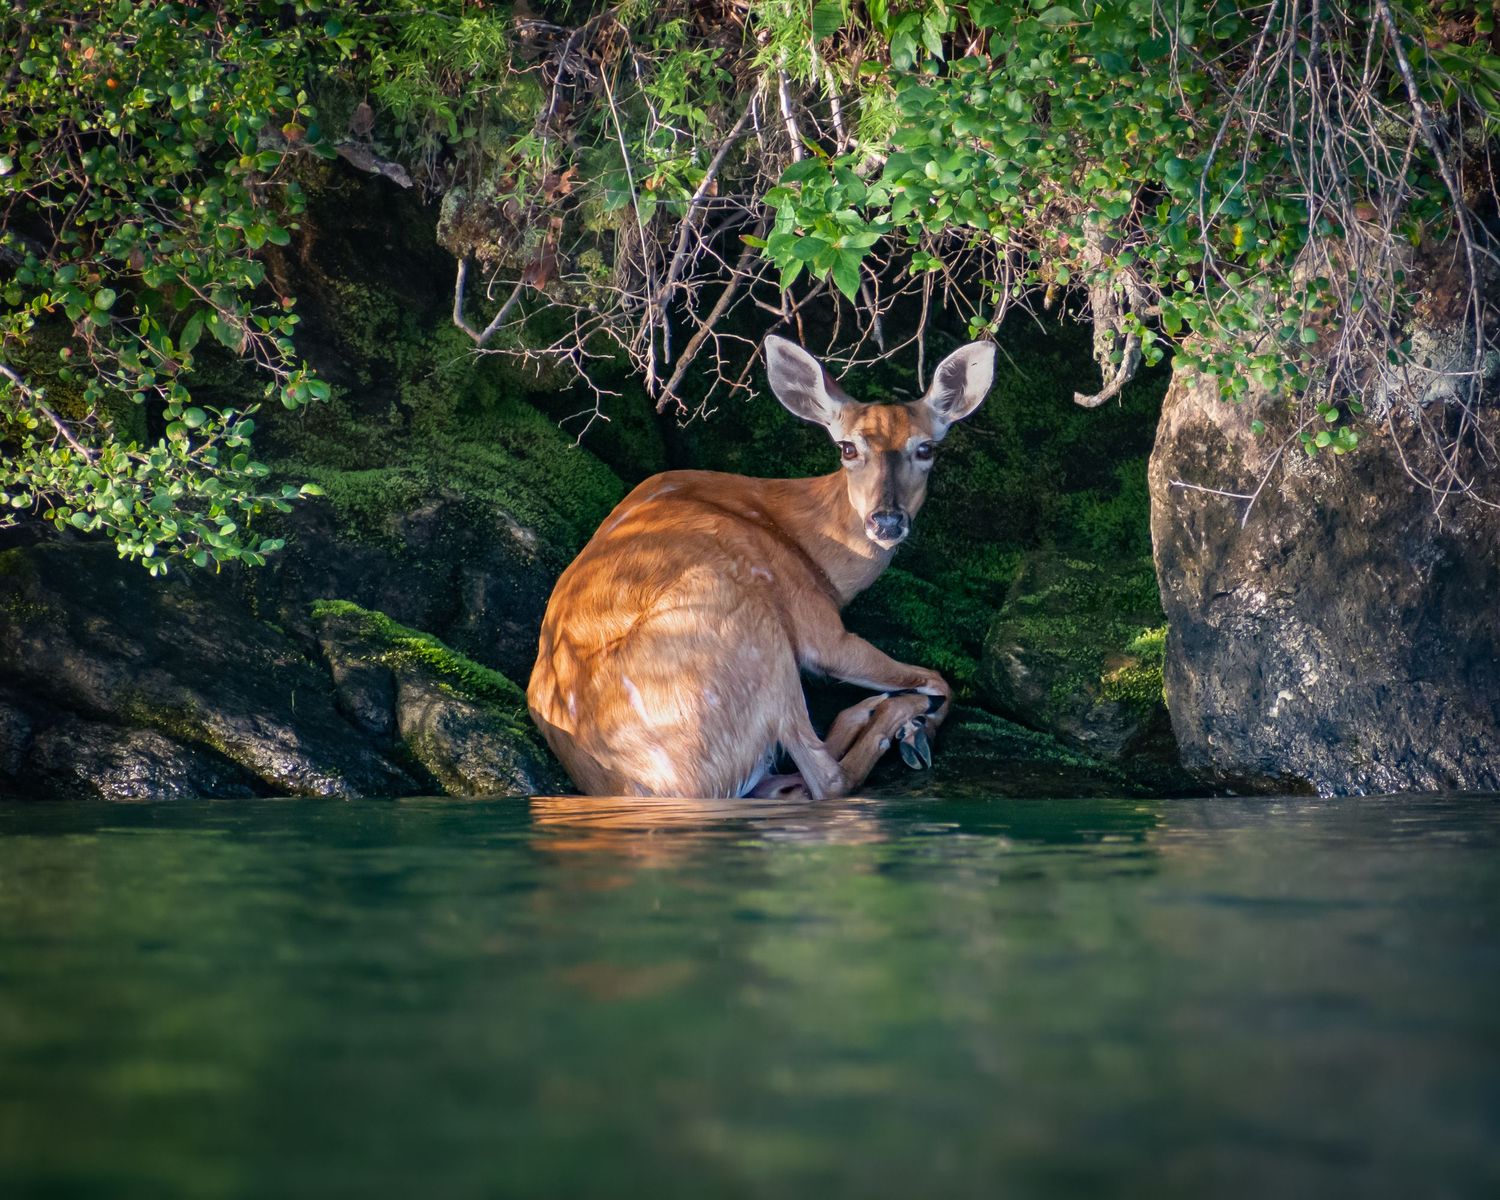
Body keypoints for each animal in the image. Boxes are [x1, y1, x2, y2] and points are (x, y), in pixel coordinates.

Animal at [526, 334, 996, 799]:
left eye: (926, 448)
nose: (887, 521)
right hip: (748, 627)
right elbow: (938, 679)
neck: (817, 557)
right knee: (828, 779)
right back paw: (891, 718)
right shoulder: (816, 624)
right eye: (847, 448)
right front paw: (920, 730)